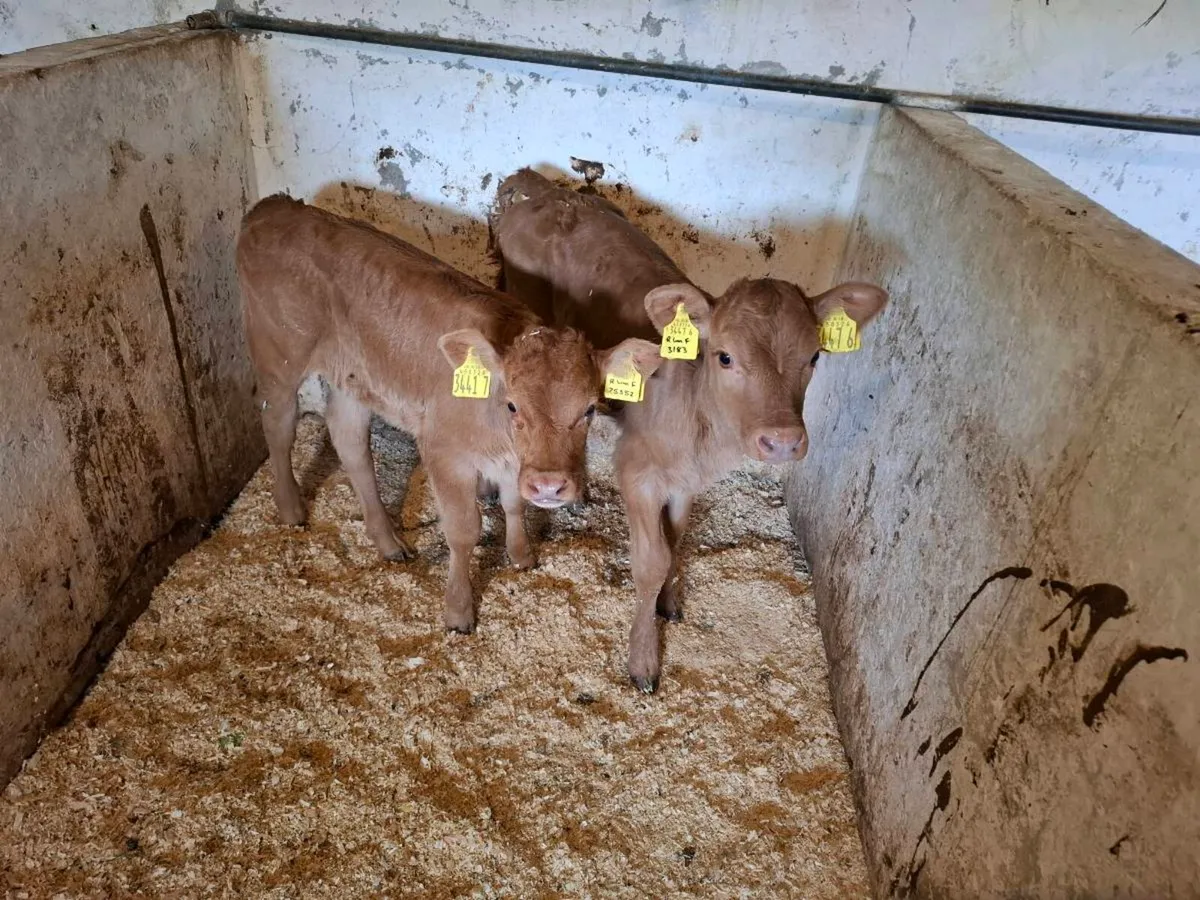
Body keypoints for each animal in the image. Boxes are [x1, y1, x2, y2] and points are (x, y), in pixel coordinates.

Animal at [237, 194, 660, 634]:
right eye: (513, 404)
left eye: (589, 408)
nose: (549, 486)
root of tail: (274, 206)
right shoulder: (444, 452)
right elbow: (463, 531)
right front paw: (458, 611)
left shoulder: (512, 463)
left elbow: (513, 504)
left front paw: (521, 556)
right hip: (278, 356)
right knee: (278, 425)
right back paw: (291, 510)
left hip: (351, 378)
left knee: (350, 444)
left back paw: (388, 541)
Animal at [491, 169, 888, 691]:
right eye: (725, 356)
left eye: (815, 356)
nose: (782, 441)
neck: (701, 433)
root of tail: (537, 186)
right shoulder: (638, 472)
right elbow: (652, 560)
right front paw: (643, 658)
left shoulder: (687, 479)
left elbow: (676, 535)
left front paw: (670, 601)